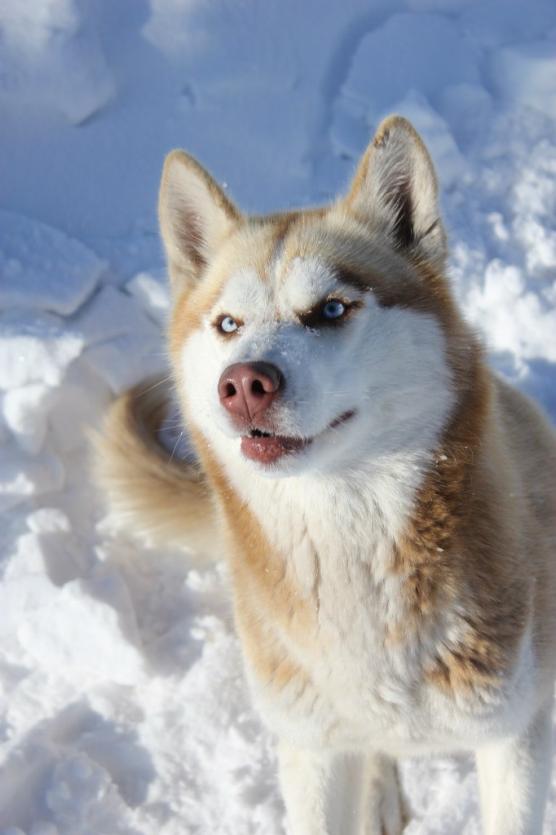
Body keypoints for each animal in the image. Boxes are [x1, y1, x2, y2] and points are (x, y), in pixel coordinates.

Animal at [97, 119, 556, 835]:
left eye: (333, 310)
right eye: (228, 324)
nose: (243, 385)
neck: (351, 542)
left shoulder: (515, 737)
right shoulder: (311, 751)